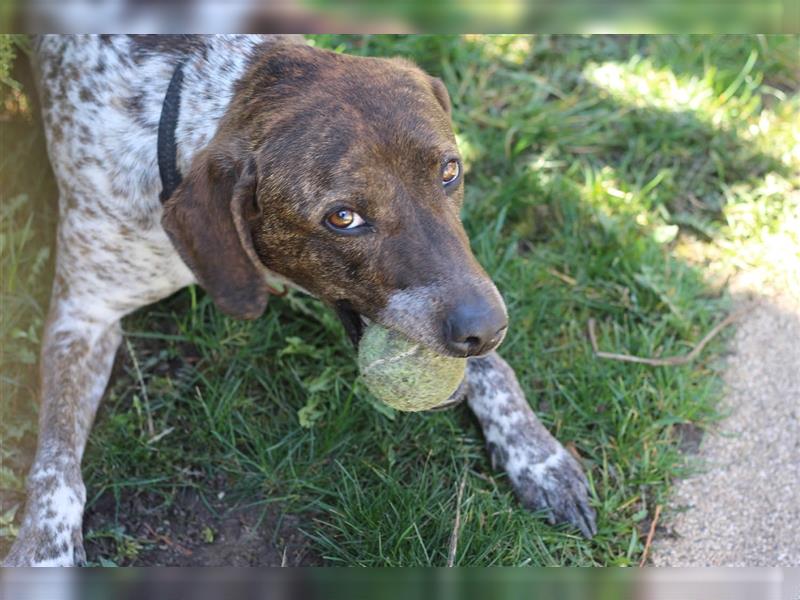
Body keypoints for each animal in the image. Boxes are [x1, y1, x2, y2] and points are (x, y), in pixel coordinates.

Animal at [3, 34, 592, 568]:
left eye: (450, 171)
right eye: (343, 217)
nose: (487, 328)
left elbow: (496, 373)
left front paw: (538, 456)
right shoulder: (82, 317)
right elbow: (56, 463)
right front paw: (45, 551)